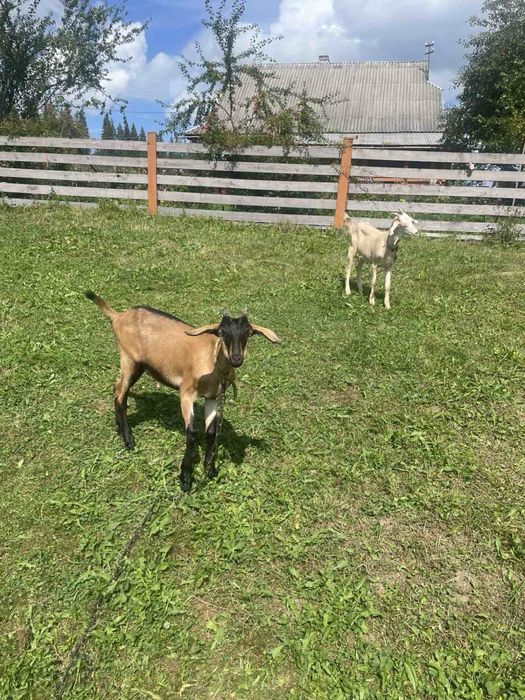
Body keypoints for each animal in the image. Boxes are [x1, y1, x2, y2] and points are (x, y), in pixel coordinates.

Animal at [85, 292, 281, 492]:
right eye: (221, 332)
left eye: (248, 333)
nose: (236, 358)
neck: (212, 363)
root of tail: (118, 316)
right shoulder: (186, 394)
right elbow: (192, 433)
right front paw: (185, 477)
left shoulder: (213, 398)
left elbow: (211, 433)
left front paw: (210, 468)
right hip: (129, 358)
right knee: (120, 394)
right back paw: (129, 440)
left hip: (137, 365)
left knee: (117, 390)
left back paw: (118, 428)